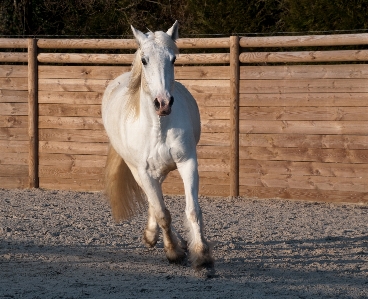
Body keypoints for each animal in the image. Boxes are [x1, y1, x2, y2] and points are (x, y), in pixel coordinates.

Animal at [102, 21, 214, 270]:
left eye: (173, 59)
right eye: (144, 60)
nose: (163, 103)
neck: (158, 127)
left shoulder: (187, 162)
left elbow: (193, 210)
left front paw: (201, 254)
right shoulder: (143, 172)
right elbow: (162, 212)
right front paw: (173, 252)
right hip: (138, 171)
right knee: (154, 203)